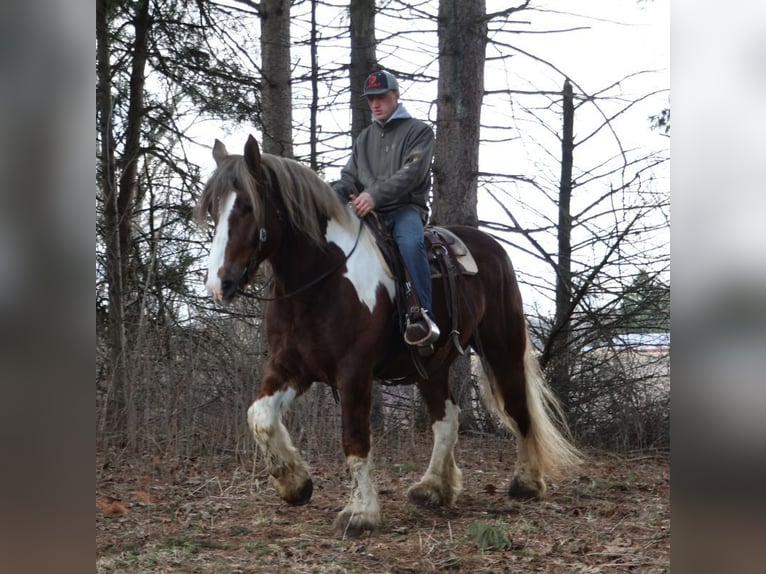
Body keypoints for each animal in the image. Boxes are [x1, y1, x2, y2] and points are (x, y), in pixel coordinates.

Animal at [195, 135, 581, 537]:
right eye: (213, 210)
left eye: (247, 207)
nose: (219, 284)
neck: (320, 279)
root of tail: (489, 246)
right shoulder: (291, 366)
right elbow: (260, 416)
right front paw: (294, 483)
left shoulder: (353, 372)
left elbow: (354, 439)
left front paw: (360, 512)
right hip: (431, 365)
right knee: (447, 417)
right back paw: (433, 487)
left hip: (502, 348)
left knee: (518, 408)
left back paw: (526, 482)